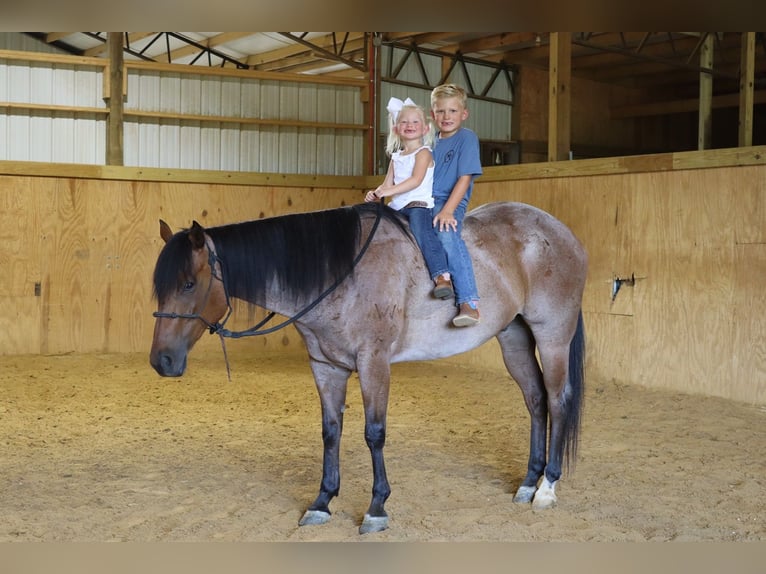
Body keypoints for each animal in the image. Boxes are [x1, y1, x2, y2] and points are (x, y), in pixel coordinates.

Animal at [153, 201, 592, 536]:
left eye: (189, 284)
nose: (161, 361)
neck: (341, 274)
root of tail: (560, 232)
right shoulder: (325, 366)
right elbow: (331, 432)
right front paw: (322, 501)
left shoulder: (373, 362)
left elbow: (374, 433)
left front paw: (377, 508)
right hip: (513, 336)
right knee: (535, 401)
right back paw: (528, 481)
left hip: (552, 336)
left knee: (557, 400)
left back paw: (547, 486)